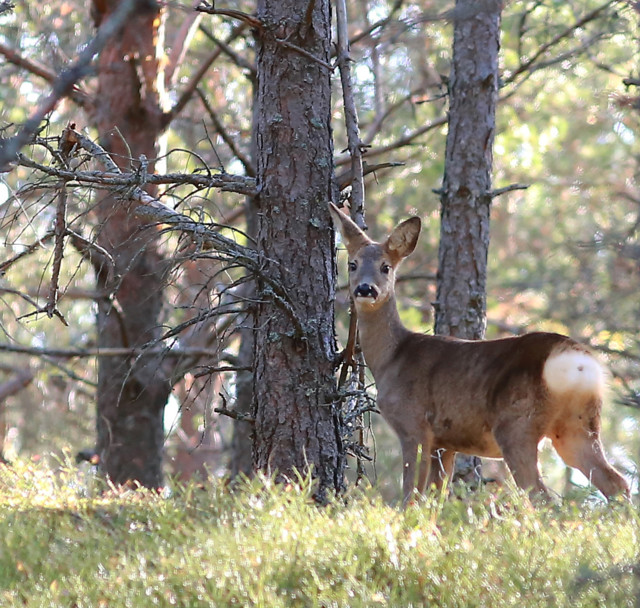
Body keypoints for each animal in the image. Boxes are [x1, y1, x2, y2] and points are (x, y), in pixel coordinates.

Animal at [330, 203, 632, 504]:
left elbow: (411, 496)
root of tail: (578, 361)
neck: (392, 357)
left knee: (542, 496)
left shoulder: (414, 424)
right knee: (616, 482)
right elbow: (435, 497)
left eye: (386, 267)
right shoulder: (444, 443)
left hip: (517, 424)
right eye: (352, 264)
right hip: (577, 426)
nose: (365, 289)